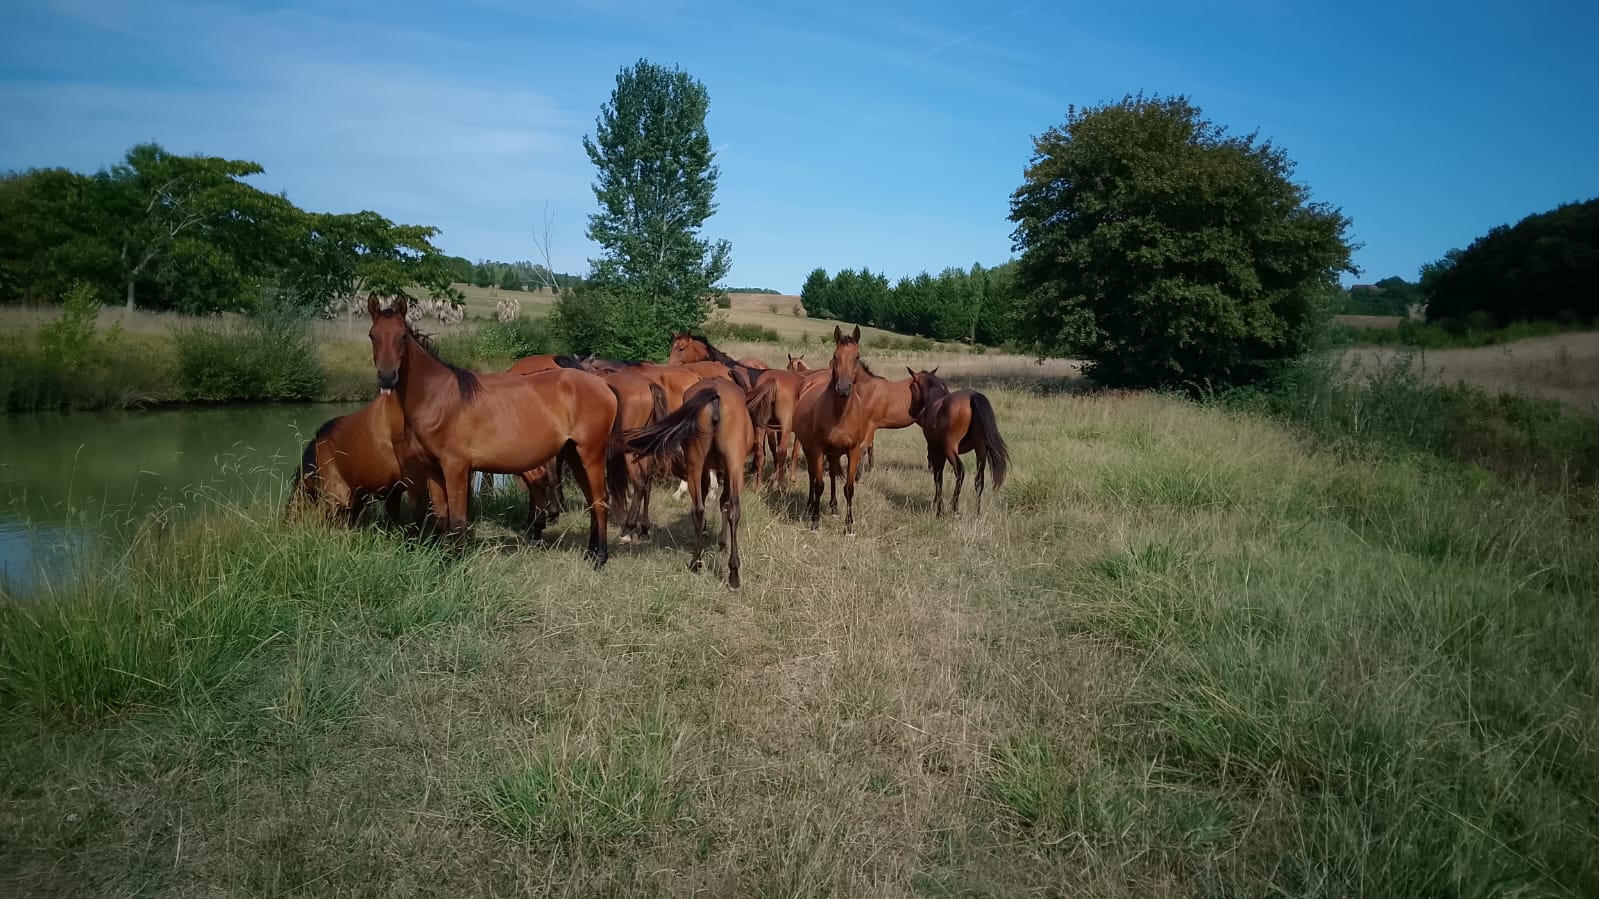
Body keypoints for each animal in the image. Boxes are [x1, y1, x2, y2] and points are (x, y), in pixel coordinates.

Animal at [367, 296, 623, 566]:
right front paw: (443, 558)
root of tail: (603, 384)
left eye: (402, 336)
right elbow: (442, 516)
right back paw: (590, 551)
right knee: (592, 499)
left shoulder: (456, 467)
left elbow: (458, 518)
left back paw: (600, 556)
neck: (440, 397)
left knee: (600, 499)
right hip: (574, 454)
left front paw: (456, 561)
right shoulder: (433, 470)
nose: (387, 377)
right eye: (373, 335)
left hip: (591, 454)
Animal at [621, 378, 759, 589]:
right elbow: (723, 502)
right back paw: (712, 566)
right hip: (720, 463)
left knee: (705, 508)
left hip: (707, 463)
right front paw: (720, 541)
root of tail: (716, 395)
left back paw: (716, 568)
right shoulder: (722, 469)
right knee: (716, 508)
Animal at [791, 325, 877, 534]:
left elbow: (849, 487)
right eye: (835, 355)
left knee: (831, 475)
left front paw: (849, 524)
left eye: (857, 356)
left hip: (835, 453)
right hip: (809, 448)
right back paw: (809, 505)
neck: (840, 414)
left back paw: (834, 505)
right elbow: (819, 484)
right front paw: (815, 520)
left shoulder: (853, 451)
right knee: (813, 476)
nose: (844, 388)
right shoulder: (818, 449)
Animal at [906, 369, 1011, 516]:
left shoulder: (936, 450)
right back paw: (977, 512)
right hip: (980, 451)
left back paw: (954, 508)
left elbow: (938, 477)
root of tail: (972, 398)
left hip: (951, 449)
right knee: (979, 480)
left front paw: (939, 508)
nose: (911, 411)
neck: (935, 399)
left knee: (960, 472)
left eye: (911, 387)